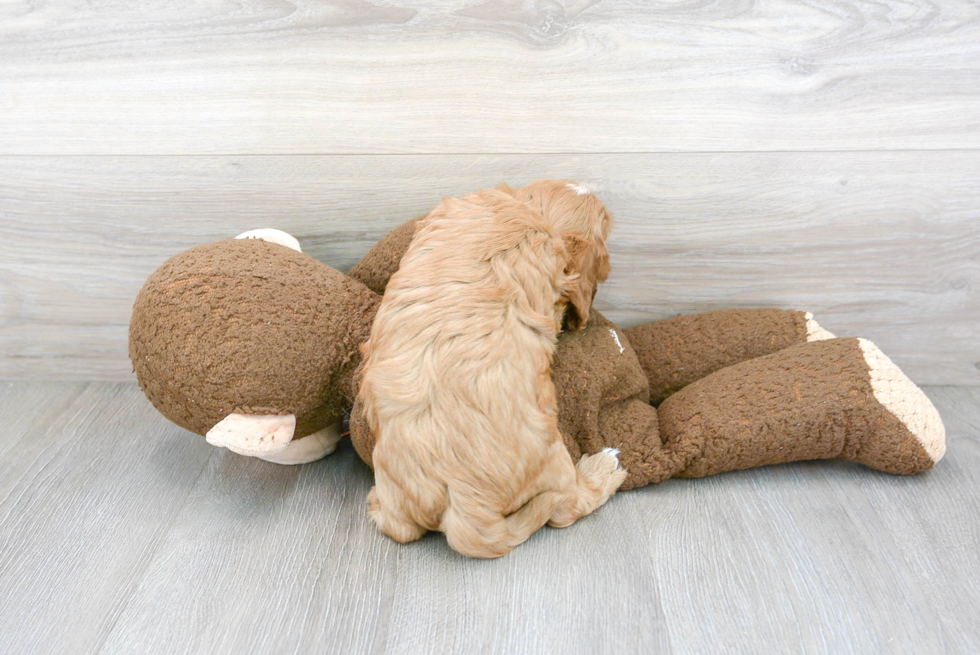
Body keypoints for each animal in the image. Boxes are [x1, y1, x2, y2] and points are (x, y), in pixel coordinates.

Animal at [360, 179, 628, 560]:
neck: (532, 211)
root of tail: (468, 510)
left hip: (394, 495)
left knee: (397, 528)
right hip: (554, 459)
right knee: (568, 506)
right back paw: (604, 468)